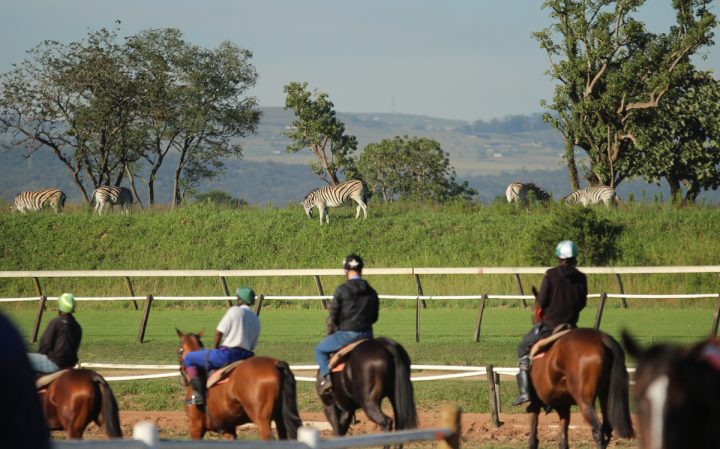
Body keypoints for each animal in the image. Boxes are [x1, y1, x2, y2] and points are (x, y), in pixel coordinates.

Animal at [524, 288, 636, 448]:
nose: (534, 321)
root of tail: (602, 339)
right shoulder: (563, 407)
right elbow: (563, 441)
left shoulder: (534, 404)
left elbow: (533, 439)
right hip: (605, 395)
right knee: (607, 428)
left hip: (585, 401)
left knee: (598, 430)